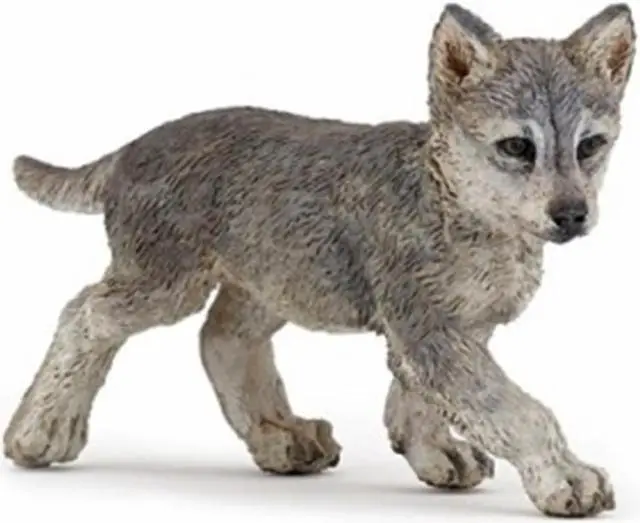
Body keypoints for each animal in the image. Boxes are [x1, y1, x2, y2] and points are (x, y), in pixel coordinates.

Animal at [3, 2, 635, 517]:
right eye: (517, 147)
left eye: (590, 145)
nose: (572, 214)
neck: (456, 200)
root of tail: (131, 147)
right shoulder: (429, 329)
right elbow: (516, 408)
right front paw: (566, 478)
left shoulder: (449, 331)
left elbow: (419, 401)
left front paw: (435, 454)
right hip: (165, 282)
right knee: (84, 314)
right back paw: (41, 431)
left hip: (269, 280)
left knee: (222, 340)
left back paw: (281, 436)